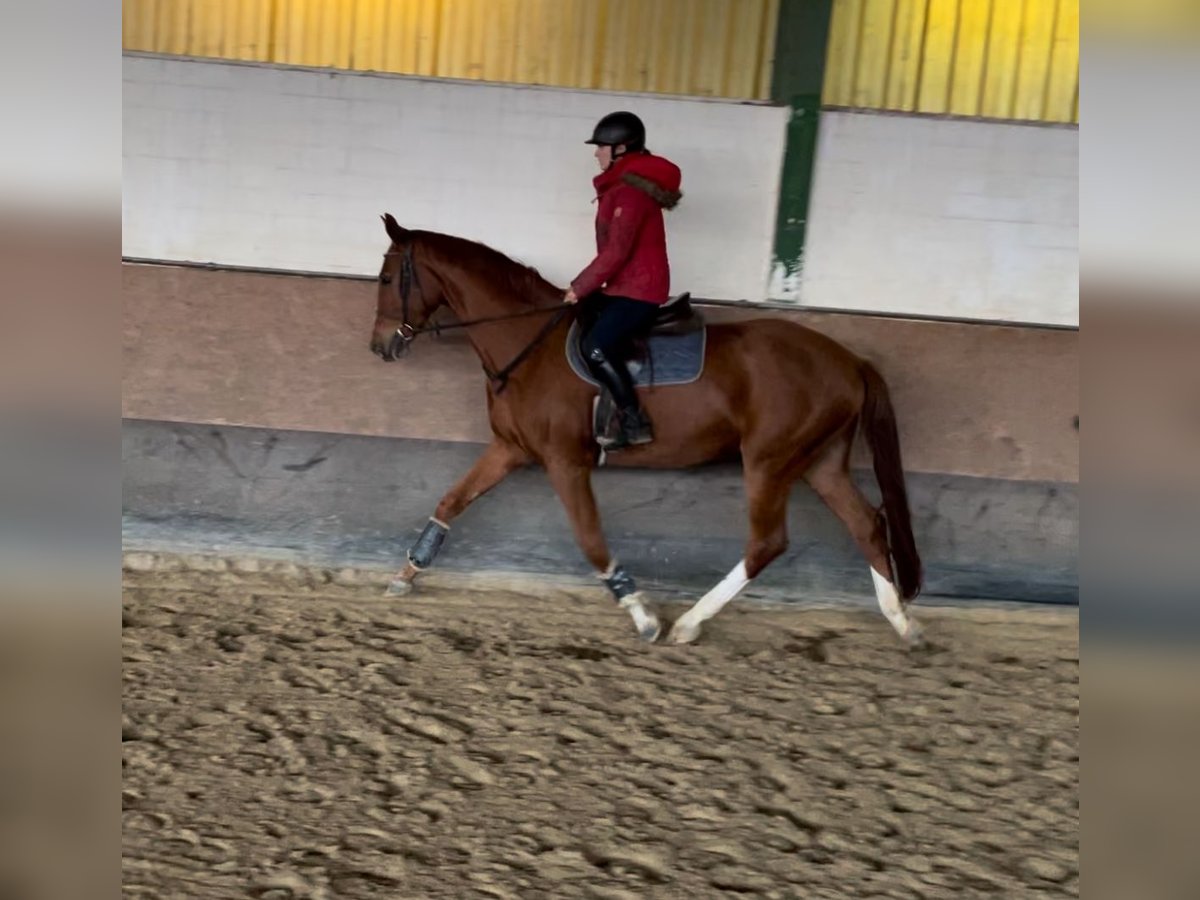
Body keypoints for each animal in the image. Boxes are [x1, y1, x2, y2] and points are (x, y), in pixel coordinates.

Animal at [369, 213, 921, 643]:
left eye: (387, 277)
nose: (380, 347)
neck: (527, 342)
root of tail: (849, 361)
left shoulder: (564, 462)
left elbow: (591, 540)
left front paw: (641, 614)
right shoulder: (509, 448)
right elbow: (451, 501)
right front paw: (407, 573)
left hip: (769, 460)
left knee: (768, 543)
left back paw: (690, 623)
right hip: (820, 462)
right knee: (866, 524)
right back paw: (902, 622)